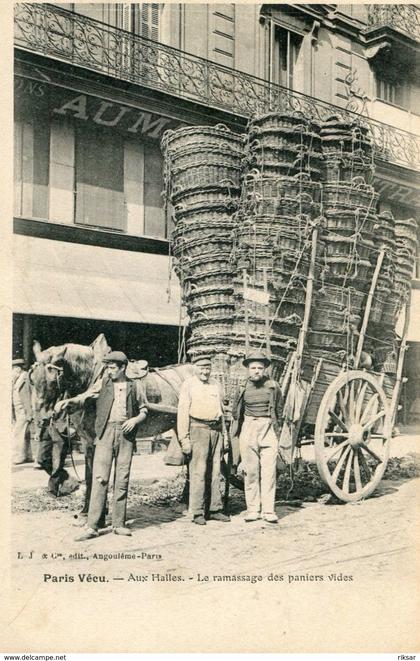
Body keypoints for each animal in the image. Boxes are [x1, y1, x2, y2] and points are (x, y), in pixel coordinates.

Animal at [28, 332, 196, 512]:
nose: (42, 419)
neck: (91, 378)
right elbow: (89, 474)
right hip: (179, 426)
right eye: (32, 380)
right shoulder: (87, 441)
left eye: (53, 380)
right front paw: (86, 509)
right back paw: (186, 498)